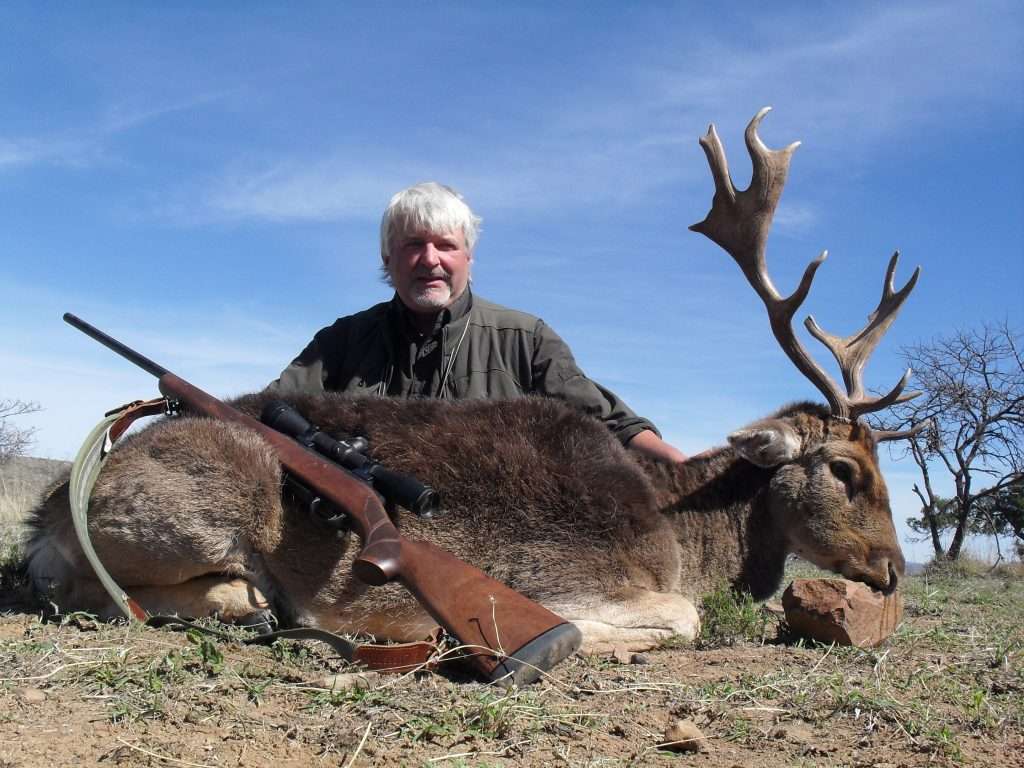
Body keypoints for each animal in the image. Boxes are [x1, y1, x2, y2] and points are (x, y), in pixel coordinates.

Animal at [26, 109, 922, 655]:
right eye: (846, 469)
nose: (891, 569)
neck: (682, 532)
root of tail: (53, 507)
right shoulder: (586, 577)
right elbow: (679, 617)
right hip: (188, 514)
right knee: (86, 587)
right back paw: (262, 604)